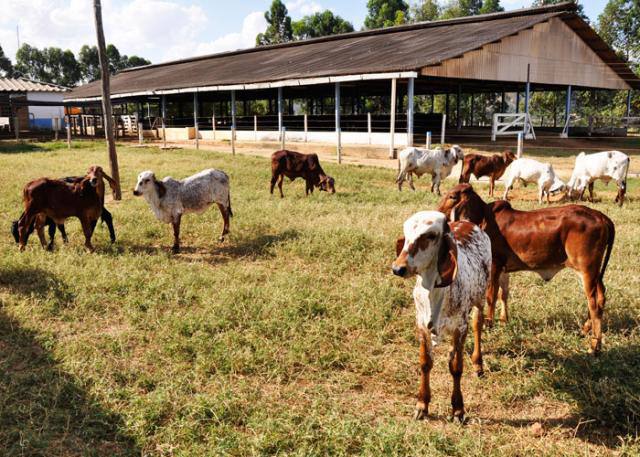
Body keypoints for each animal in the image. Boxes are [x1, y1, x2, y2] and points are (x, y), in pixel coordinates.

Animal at [390, 210, 490, 420]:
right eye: (406, 233)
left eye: (430, 236)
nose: (398, 268)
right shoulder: (421, 324)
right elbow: (425, 363)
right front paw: (422, 404)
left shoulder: (460, 327)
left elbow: (456, 367)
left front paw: (458, 408)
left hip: (480, 297)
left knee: (478, 324)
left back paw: (478, 363)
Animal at [436, 184, 616, 352]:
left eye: (452, 196)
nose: (438, 214)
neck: (484, 218)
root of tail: (601, 217)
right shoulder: (503, 269)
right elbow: (503, 294)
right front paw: (504, 320)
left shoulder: (494, 265)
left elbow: (491, 296)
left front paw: (489, 322)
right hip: (595, 273)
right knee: (601, 297)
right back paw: (586, 329)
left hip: (587, 270)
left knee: (593, 303)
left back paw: (595, 345)